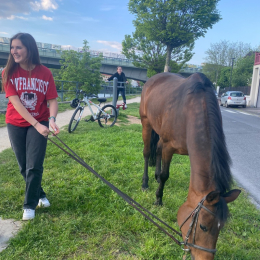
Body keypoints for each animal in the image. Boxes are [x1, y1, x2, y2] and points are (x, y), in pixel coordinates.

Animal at [139, 72, 241, 258]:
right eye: (203, 226)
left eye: (221, 228)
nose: (205, 258)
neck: (190, 111)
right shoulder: (169, 147)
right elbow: (165, 175)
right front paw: (158, 199)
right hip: (146, 123)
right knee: (147, 153)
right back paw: (146, 183)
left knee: (157, 150)